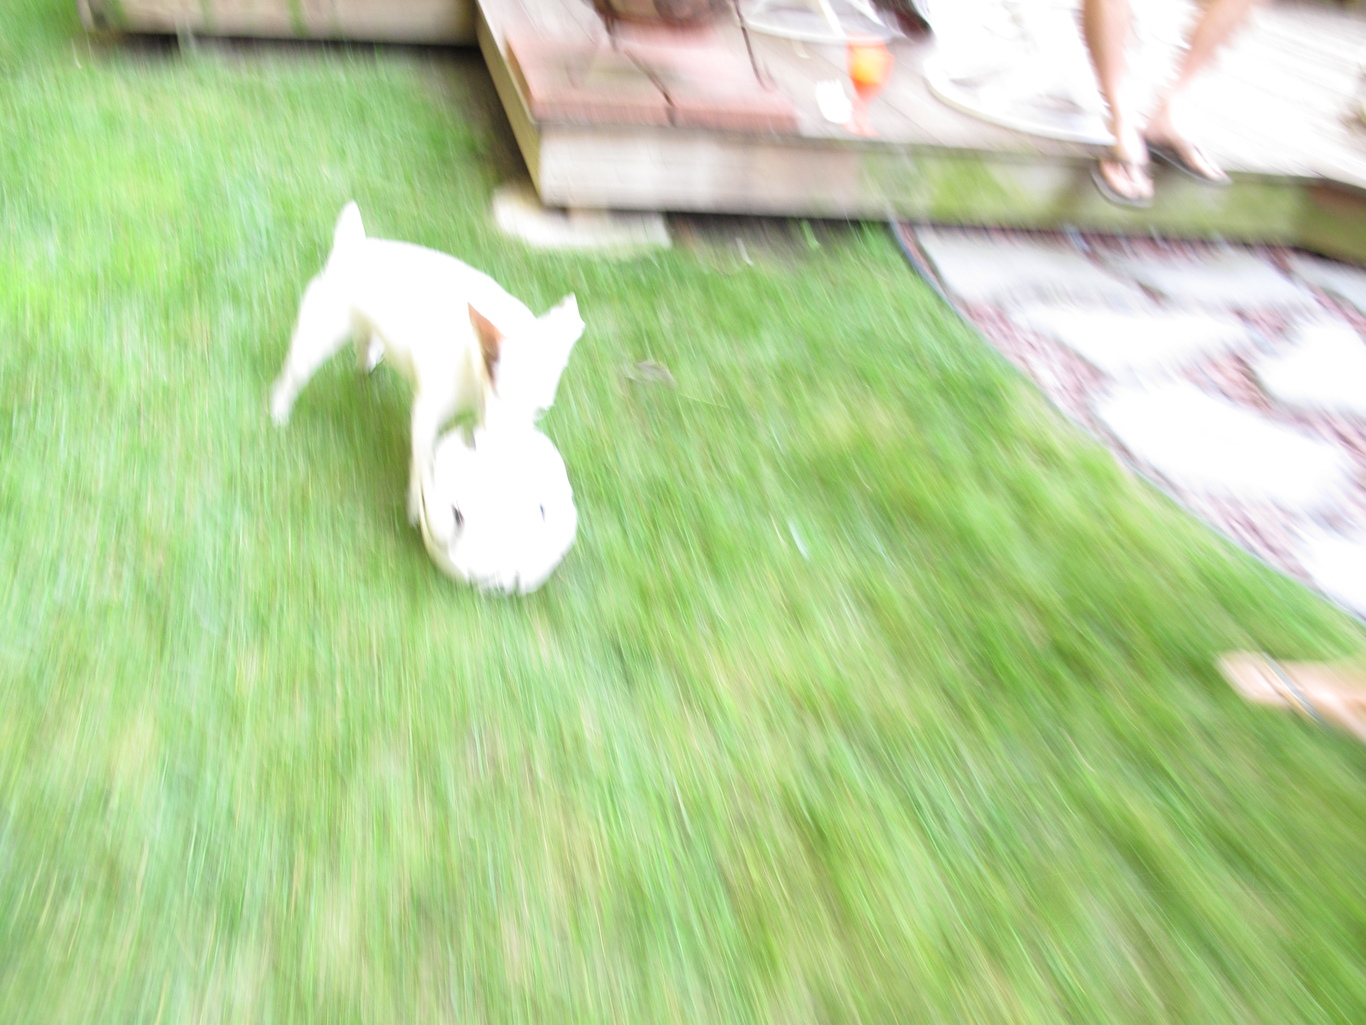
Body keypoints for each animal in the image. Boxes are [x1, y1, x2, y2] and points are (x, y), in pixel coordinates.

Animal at [269, 202, 584, 522]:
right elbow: (422, 462)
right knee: (292, 376)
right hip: (318, 338)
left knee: (364, 340)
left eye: (540, 409)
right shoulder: (427, 415)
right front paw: (416, 505)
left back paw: (367, 360)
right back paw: (278, 412)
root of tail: (351, 246)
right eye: (498, 391)